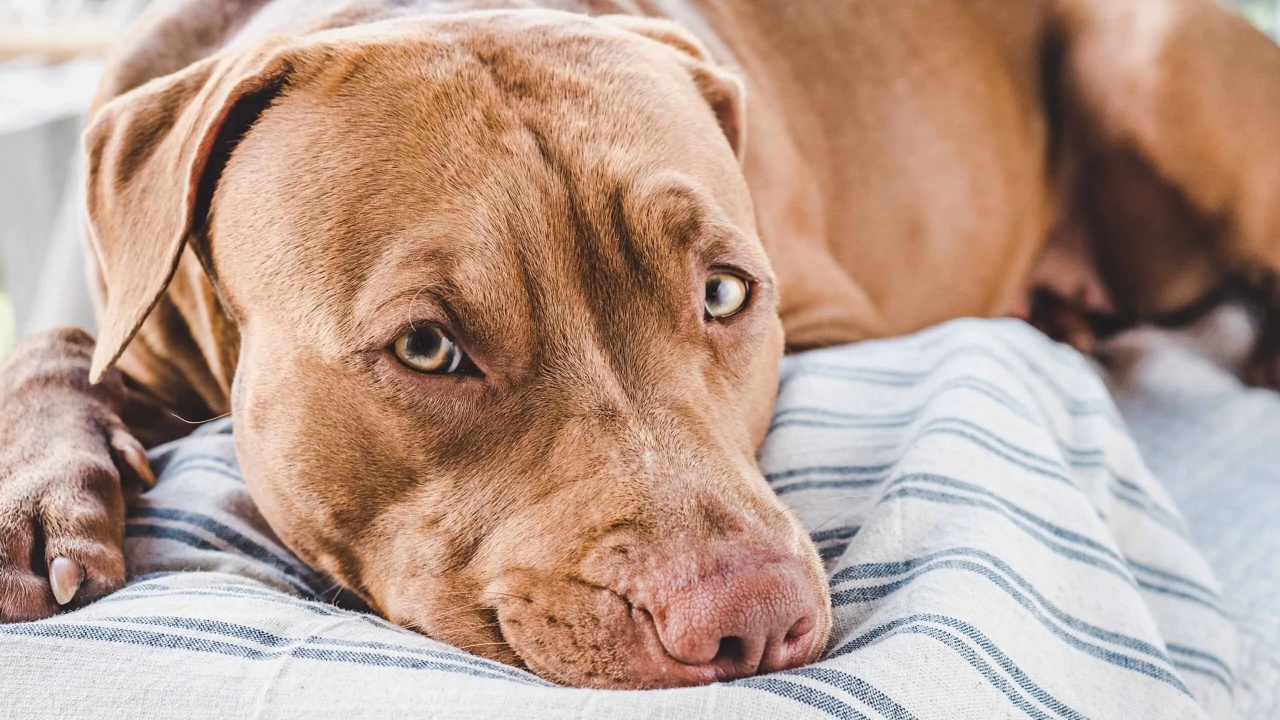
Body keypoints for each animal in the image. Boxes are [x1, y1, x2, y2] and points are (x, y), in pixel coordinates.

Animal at [0, 0, 1274, 691]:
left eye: (723, 293)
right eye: (427, 347)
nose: (749, 618)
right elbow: (55, 342)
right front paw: (42, 497)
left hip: (1148, 55)